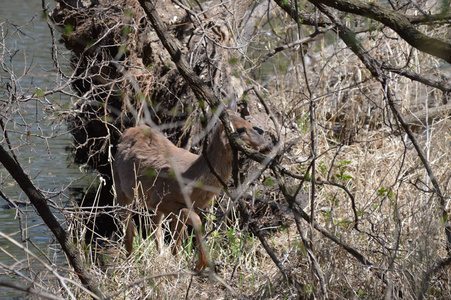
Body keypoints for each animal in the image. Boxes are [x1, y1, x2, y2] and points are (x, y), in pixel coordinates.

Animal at [115, 102, 274, 270]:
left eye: (253, 126)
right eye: (241, 129)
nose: (268, 145)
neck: (193, 178)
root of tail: (127, 131)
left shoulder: (183, 206)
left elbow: (176, 242)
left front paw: (178, 264)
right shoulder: (162, 199)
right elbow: (196, 222)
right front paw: (201, 263)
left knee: (153, 228)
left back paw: (156, 258)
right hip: (120, 187)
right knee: (129, 228)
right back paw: (128, 262)